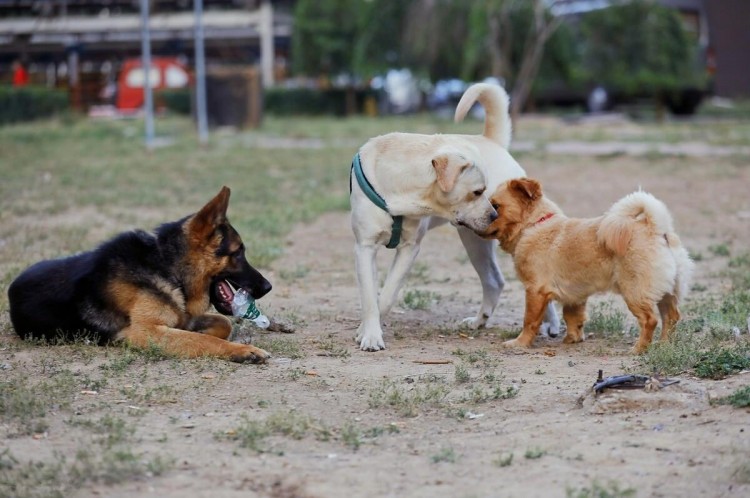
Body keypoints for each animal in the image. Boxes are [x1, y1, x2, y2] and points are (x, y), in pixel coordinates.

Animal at [8, 187, 274, 362]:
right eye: (238, 253)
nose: (268, 287)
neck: (168, 268)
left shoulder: (180, 318)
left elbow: (221, 324)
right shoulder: (145, 332)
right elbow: (206, 340)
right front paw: (241, 350)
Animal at [352, 82, 560, 350]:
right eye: (478, 191)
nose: (494, 213)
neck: (400, 189)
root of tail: (491, 141)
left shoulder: (410, 248)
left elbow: (386, 295)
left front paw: (369, 330)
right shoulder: (365, 247)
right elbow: (370, 297)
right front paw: (369, 333)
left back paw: (550, 324)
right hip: (474, 241)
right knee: (494, 280)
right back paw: (479, 321)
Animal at [478, 177, 696, 352]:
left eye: (495, 206)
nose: (481, 218)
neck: (535, 225)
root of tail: (657, 229)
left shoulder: (535, 291)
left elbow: (530, 321)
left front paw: (520, 343)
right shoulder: (574, 295)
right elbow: (572, 316)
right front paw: (572, 338)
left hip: (635, 292)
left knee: (650, 320)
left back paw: (639, 348)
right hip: (666, 291)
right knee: (671, 316)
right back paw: (664, 345)